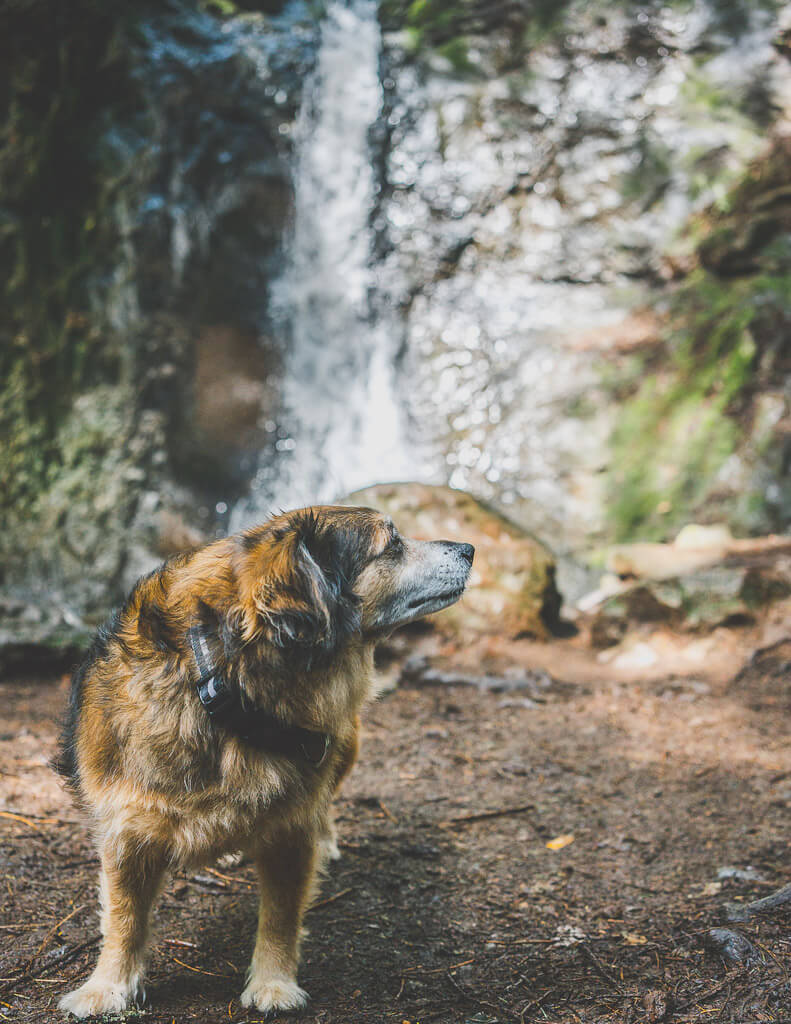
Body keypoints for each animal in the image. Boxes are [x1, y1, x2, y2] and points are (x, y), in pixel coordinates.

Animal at [57, 503, 475, 1015]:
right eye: (391, 543)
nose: (469, 548)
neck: (224, 688)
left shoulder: (290, 829)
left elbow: (280, 916)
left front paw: (273, 983)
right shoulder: (126, 830)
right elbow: (124, 918)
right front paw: (107, 986)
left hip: (343, 750)